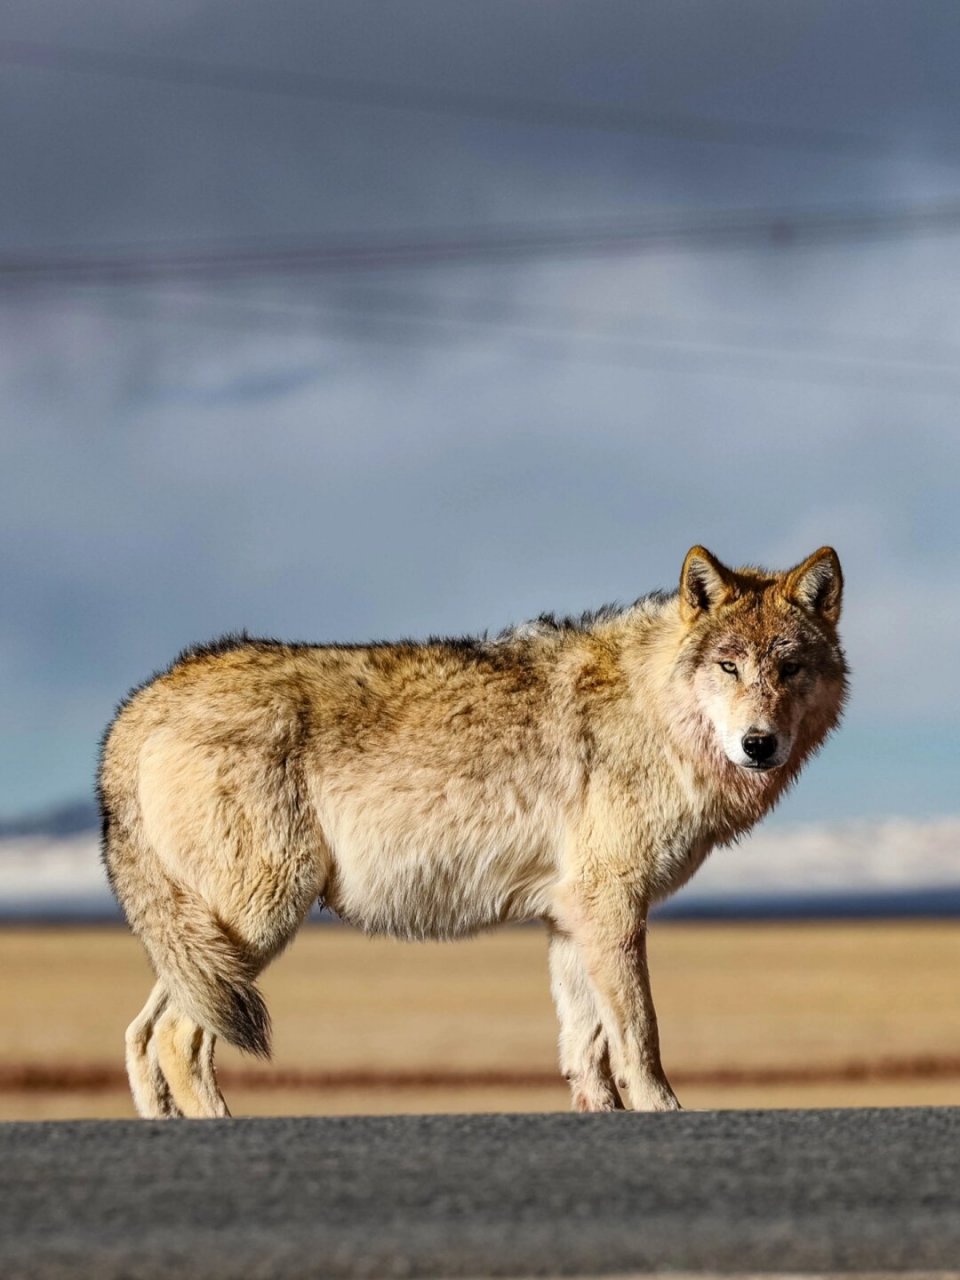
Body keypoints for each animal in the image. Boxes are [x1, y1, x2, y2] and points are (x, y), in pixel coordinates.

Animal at [101, 545, 844, 1116]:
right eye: (728, 666)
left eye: (788, 668)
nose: (759, 744)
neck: (655, 712)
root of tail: (145, 699)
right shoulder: (610, 907)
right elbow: (639, 1036)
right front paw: (665, 1111)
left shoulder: (570, 918)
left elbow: (586, 1052)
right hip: (261, 917)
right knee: (175, 1038)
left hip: (211, 946)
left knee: (139, 1035)